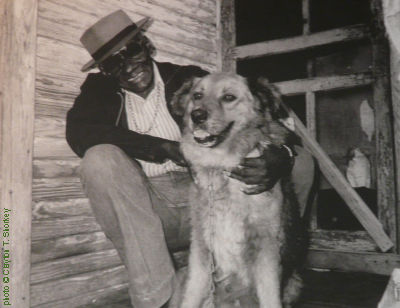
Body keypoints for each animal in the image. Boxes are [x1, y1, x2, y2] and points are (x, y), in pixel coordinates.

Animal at [170, 73, 306, 306]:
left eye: (228, 97)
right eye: (197, 95)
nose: (197, 115)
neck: (221, 165)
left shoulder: (267, 248)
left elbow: (270, 297)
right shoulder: (201, 247)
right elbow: (192, 295)